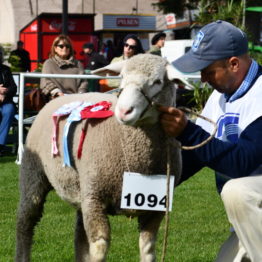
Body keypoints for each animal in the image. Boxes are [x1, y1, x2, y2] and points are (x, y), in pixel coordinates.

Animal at [14, 54, 182, 260]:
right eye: (122, 77)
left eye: (157, 81)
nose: (124, 111)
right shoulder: (95, 198)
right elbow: (99, 247)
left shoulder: (156, 208)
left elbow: (148, 248)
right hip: (33, 174)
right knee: (25, 221)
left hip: (81, 189)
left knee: (79, 237)